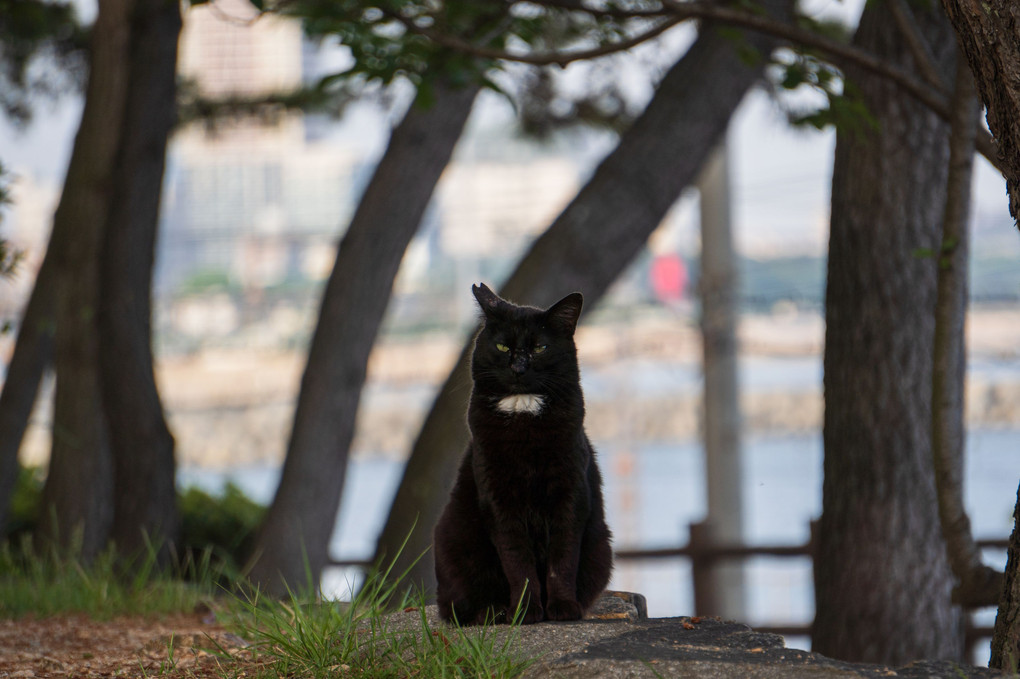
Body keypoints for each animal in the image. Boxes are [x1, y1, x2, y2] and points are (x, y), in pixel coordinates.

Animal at [432, 281, 607, 623]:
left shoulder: (570, 492)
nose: (518, 368)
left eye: (540, 348)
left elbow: (562, 558)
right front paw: (525, 611)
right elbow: (518, 563)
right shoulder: (498, 498)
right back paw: (494, 611)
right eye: (502, 347)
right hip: (452, 540)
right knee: (456, 607)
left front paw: (563, 607)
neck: (523, 414)